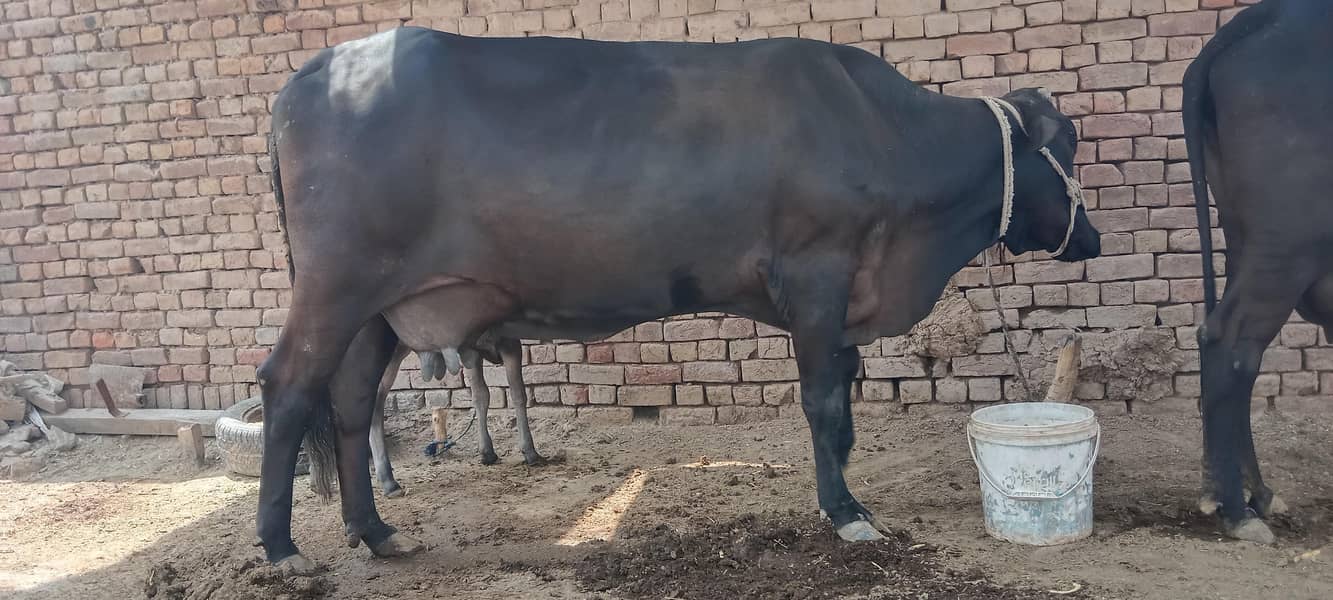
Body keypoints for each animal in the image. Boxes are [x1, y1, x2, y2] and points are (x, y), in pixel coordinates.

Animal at [368, 336, 544, 499]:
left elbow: (481, 394)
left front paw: (487, 452)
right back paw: (387, 480)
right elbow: (517, 392)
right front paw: (530, 451)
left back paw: (387, 481)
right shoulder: (505, 343)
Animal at [1183, 0, 1333, 545]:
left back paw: (1256, 495)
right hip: (1285, 246)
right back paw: (1235, 509)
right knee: (1231, 341)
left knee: (1236, 353)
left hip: (1247, 240)